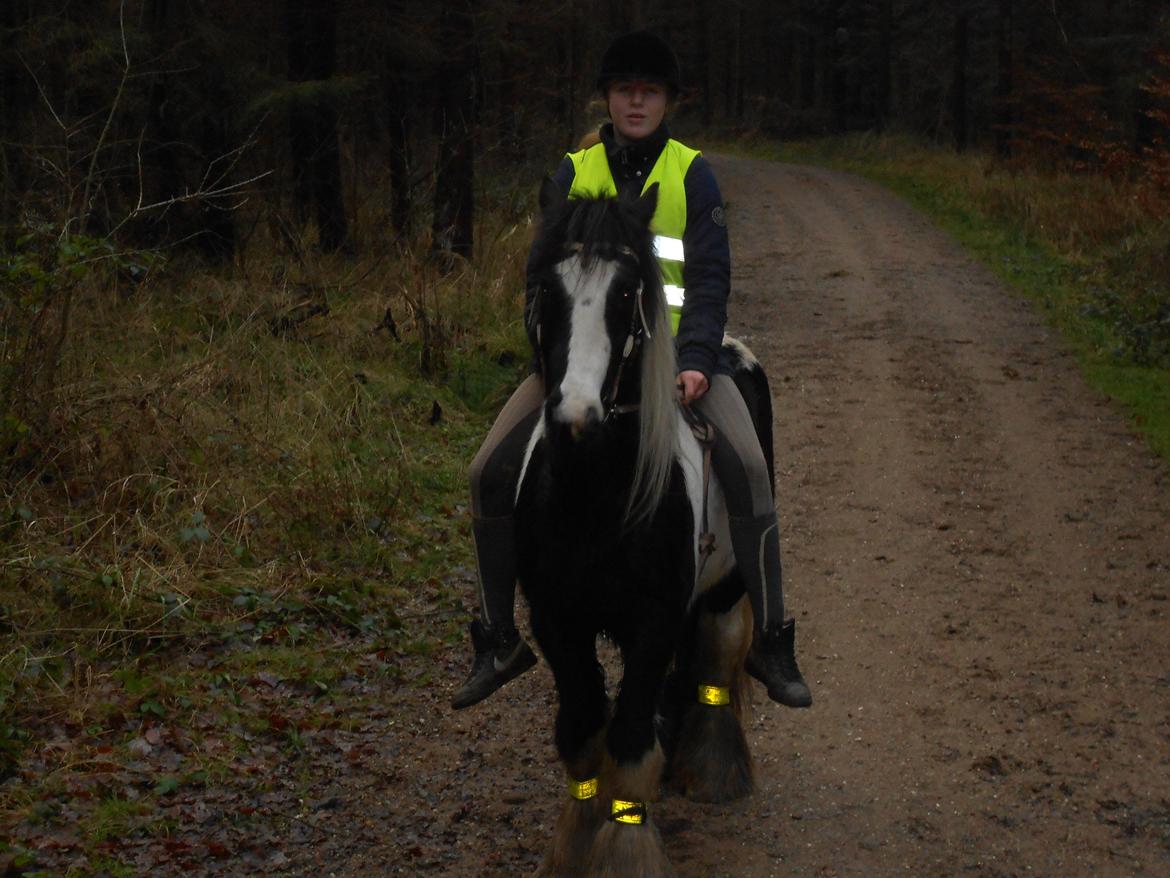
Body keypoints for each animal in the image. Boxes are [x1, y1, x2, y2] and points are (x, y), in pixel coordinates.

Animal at [517, 180, 772, 878]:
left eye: (627, 290)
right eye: (544, 286)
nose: (575, 417)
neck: (595, 501)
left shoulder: (653, 621)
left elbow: (628, 744)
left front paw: (625, 842)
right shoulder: (557, 621)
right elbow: (583, 731)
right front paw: (577, 843)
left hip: (727, 584)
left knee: (716, 654)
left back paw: (710, 769)